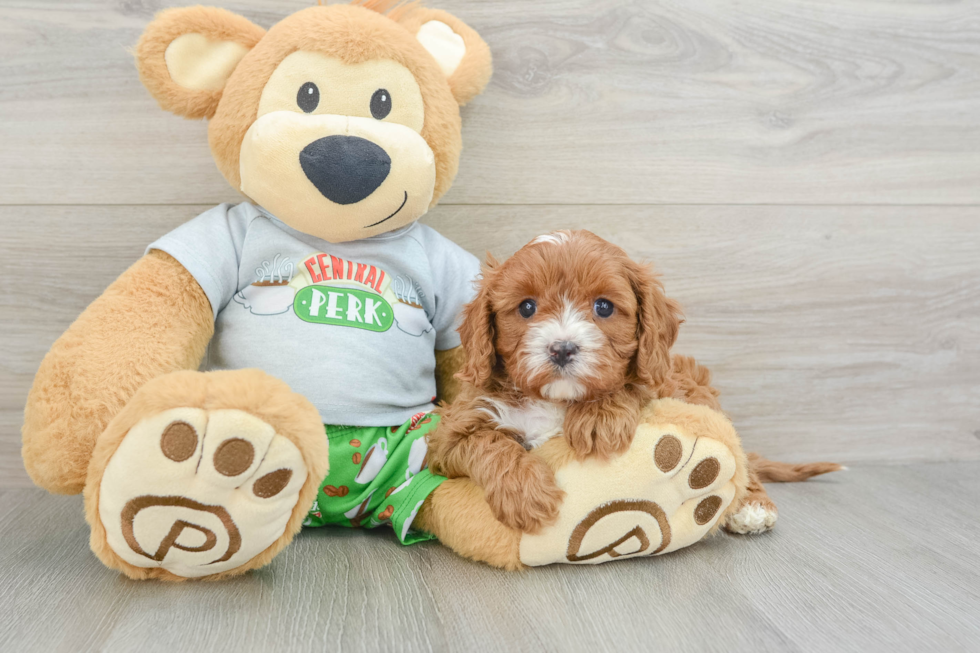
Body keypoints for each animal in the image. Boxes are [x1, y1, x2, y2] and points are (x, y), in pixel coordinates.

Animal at [428, 232, 736, 532]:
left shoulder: (659, 387)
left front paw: (598, 415)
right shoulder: (452, 431)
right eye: (526, 307)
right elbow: (488, 443)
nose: (562, 349)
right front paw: (526, 495)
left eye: (604, 306)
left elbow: (627, 383)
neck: (554, 400)